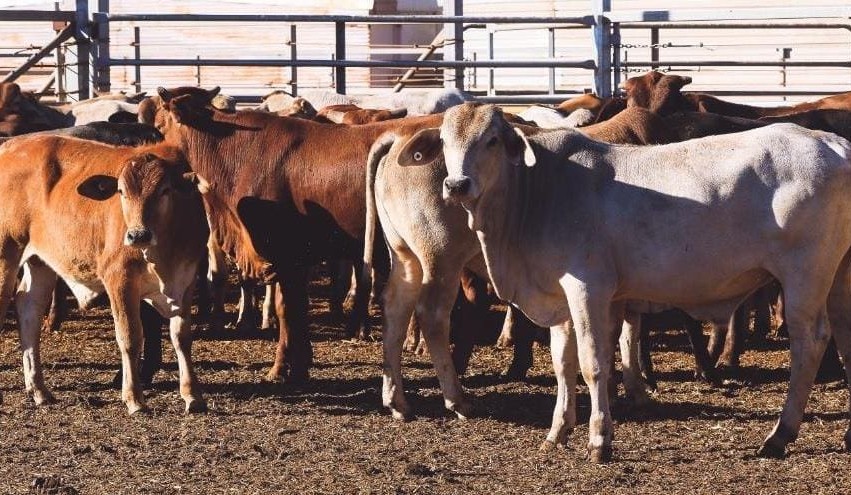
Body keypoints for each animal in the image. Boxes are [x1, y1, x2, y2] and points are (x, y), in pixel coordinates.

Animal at [0, 135, 210, 413]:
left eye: (165, 190)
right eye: (121, 192)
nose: (137, 235)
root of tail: (8, 146)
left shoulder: (186, 280)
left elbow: (181, 337)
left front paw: (192, 395)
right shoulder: (119, 279)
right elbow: (130, 337)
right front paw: (134, 398)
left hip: (40, 262)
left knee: (29, 310)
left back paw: (39, 390)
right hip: (6, 254)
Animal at [402, 102, 851, 462]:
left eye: (492, 140)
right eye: (445, 141)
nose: (456, 185)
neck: (539, 192)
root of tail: (834, 145)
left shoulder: (588, 288)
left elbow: (594, 364)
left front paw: (599, 440)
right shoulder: (559, 298)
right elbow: (563, 364)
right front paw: (557, 431)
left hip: (805, 276)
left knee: (811, 341)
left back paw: (779, 435)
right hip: (840, 275)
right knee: (844, 336)